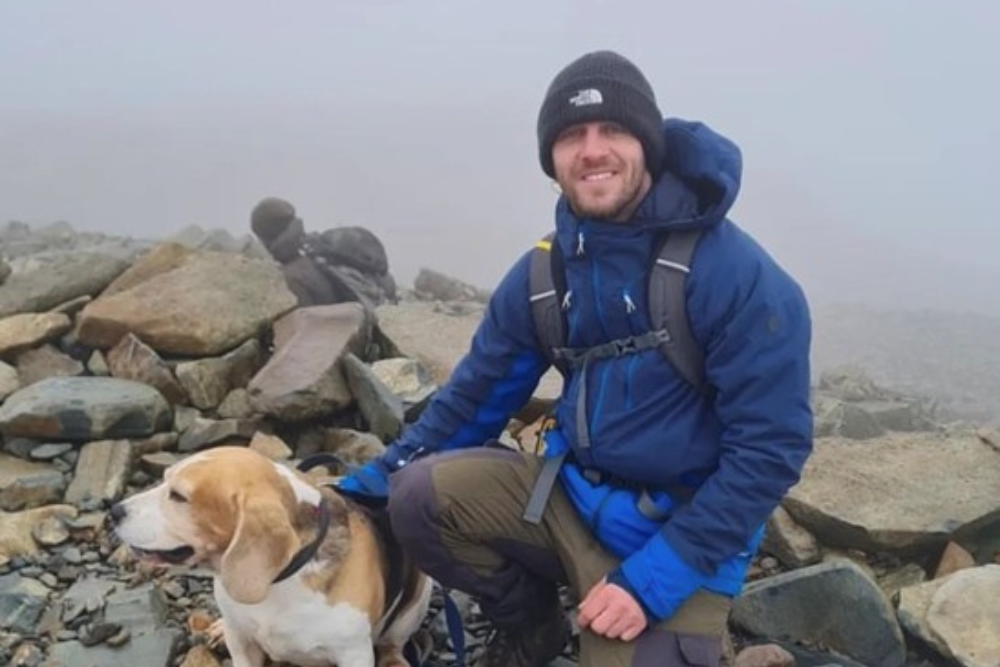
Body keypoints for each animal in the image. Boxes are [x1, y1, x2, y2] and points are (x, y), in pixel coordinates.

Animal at [110, 444, 430, 667]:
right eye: (164, 480)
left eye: (178, 496)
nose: (114, 511)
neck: (279, 582)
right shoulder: (242, 642)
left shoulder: (353, 654)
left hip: (417, 599)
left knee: (392, 643)